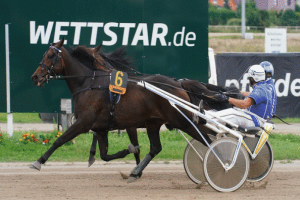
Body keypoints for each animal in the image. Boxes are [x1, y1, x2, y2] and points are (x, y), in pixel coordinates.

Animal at [31, 38, 218, 183]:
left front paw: (38, 161)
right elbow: (105, 155)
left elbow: (59, 140)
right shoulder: (101, 128)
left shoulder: (84, 123)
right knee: (156, 147)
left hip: (182, 121)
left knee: (208, 138)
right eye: (44, 55)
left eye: (50, 56)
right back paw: (136, 172)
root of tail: (179, 84)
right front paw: (129, 153)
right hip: (154, 123)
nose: (35, 76)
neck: (88, 83)